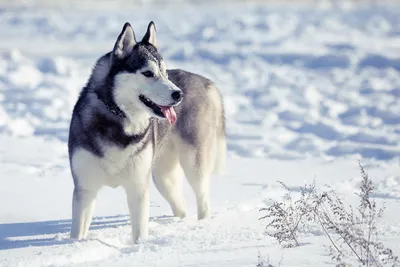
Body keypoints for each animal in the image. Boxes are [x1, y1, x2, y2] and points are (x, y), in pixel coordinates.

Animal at [68, 21, 225, 243]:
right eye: (148, 73)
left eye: (165, 73)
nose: (178, 94)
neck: (120, 119)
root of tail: (207, 83)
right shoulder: (85, 188)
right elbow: (77, 232)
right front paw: (75, 245)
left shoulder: (138, 187)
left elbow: (140, 230)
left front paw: (139, 246)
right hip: (162, 176)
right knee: (181, 205)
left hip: (193, 163)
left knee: (203, 199)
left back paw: (201, 227)